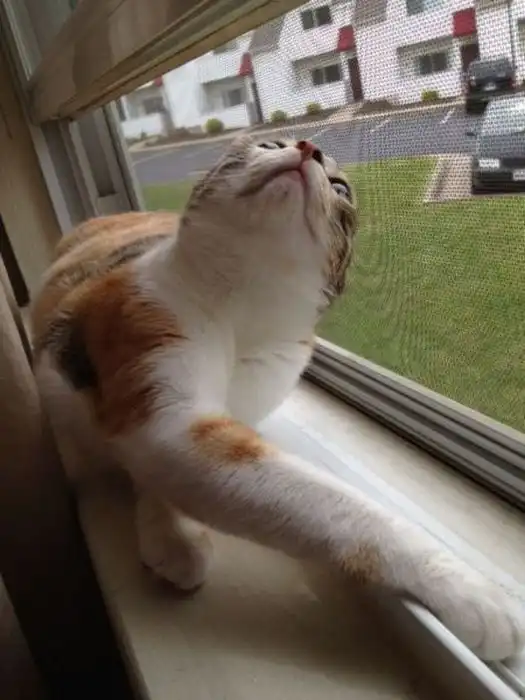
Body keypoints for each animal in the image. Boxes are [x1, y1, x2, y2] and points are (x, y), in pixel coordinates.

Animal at [31, 135, 524, 661]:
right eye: (269, 142)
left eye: (340, 187)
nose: (308, 146)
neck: (242, 310)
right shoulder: (160, 386)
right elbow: (336, 503)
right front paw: (473, 591)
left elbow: (155, 472)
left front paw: (170, 533)